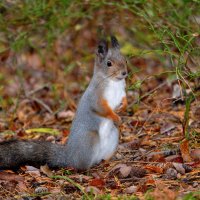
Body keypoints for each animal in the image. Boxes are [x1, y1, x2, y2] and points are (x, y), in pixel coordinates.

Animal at [0, 36, 127, 170]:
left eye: (125, 60)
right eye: (109, 63)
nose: (124, 73)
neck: (114, 82)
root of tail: (69, 157)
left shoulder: (121, 93)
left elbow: (124, 99)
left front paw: (123, 107)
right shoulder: (96, 97)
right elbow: (102, 108)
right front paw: (116, 117)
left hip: (113, 136)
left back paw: (105, 162)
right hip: (89, 140)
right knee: (81, 165)